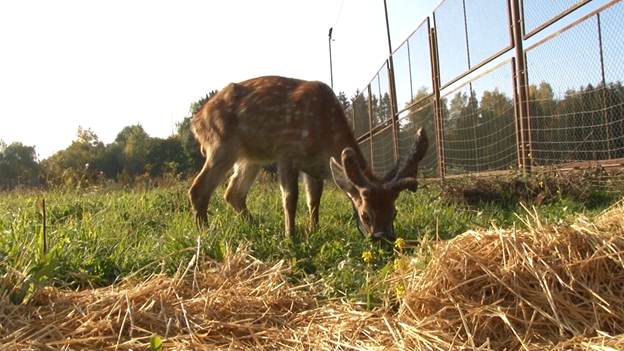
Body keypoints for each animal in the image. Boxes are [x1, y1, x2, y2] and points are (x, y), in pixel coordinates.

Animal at [188, 76, 426, 242]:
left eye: (394, 213)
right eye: (365, 215)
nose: (385, 241)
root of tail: (196, 120)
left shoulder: (314, 168)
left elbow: (314, 201)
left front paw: (313, 230)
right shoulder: (287, 152)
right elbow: (290, 199)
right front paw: (290, 236)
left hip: (250, 158)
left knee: (233, 193)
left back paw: (254, 227)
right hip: (221, 144)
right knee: (199, 189)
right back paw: (205, 233)